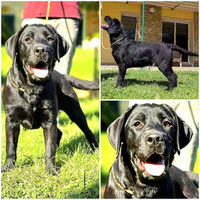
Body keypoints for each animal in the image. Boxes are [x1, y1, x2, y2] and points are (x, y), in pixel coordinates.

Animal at [1, 23, 98, 173]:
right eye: (27, 39)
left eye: (50, 39)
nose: (41, 49)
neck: (32, 88)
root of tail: (63, 76)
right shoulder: (11, 120)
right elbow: (10, 146)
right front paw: (7, 167)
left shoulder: (49, 119)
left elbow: (50, 146)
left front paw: (51, 170)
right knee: (59, 132)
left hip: (75, 112)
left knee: (87, 132)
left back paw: (96, 150)